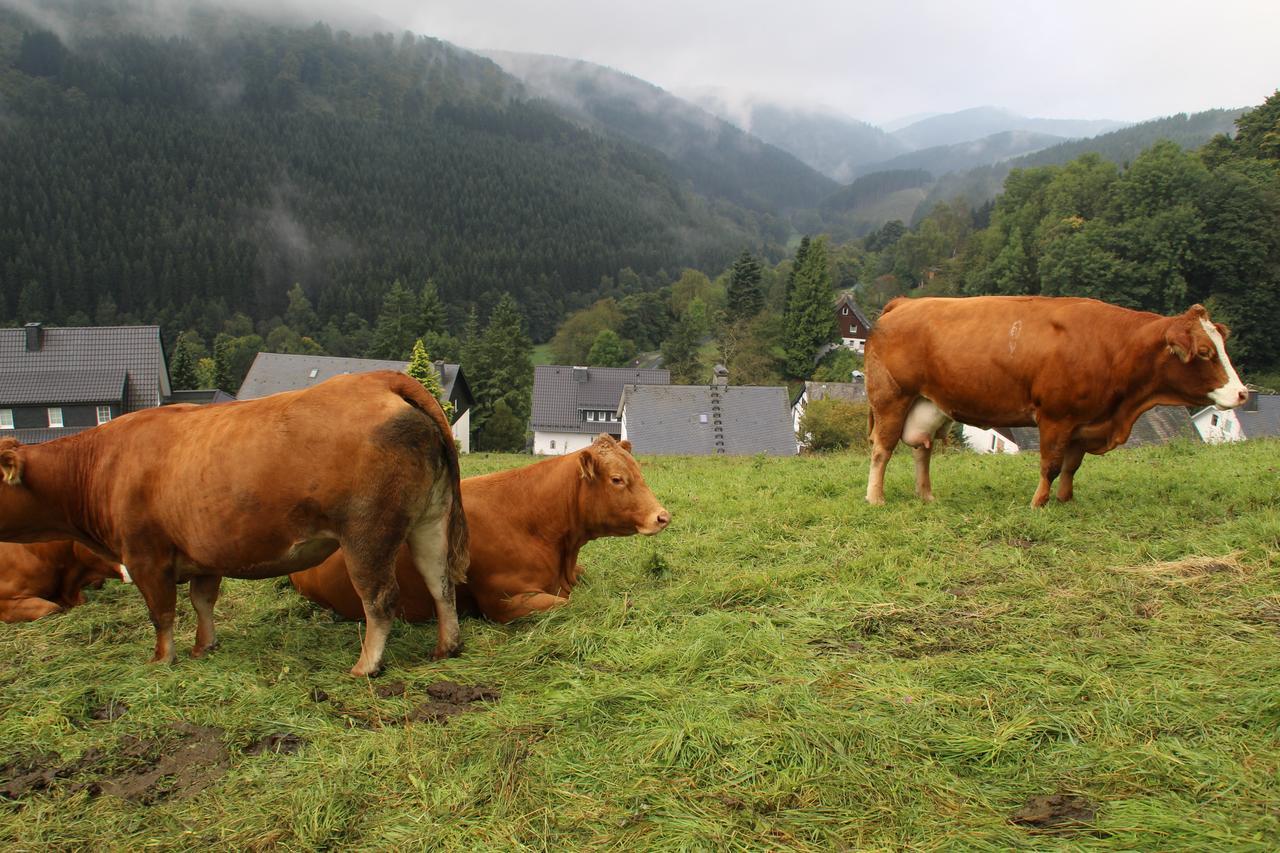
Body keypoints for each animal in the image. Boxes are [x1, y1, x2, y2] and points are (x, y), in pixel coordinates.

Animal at [0, 368, 468, 676]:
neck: (99, 463)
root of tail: (380, 378)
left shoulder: (145, 555)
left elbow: (162, 612)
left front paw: (162, 659)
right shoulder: (203, 555)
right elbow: (201, 601)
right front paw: (203, 647)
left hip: (366, 533)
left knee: (380, 597)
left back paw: (366, 666)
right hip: (429, 518)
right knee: (441, 583)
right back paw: (447, 646)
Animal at [865, 294, 1244, 504]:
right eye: (1206, 353)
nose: (1242, 393)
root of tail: (906, 303)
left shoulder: (1083, 422)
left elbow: (1072, 466)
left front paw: (1065, 500)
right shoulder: (1055, 417)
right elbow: (1051, 464)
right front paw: (1039, 502)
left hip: (929, 404)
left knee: (921, 449)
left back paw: (926, 496)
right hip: (892, 398)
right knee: (883, 449)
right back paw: (876, 497)